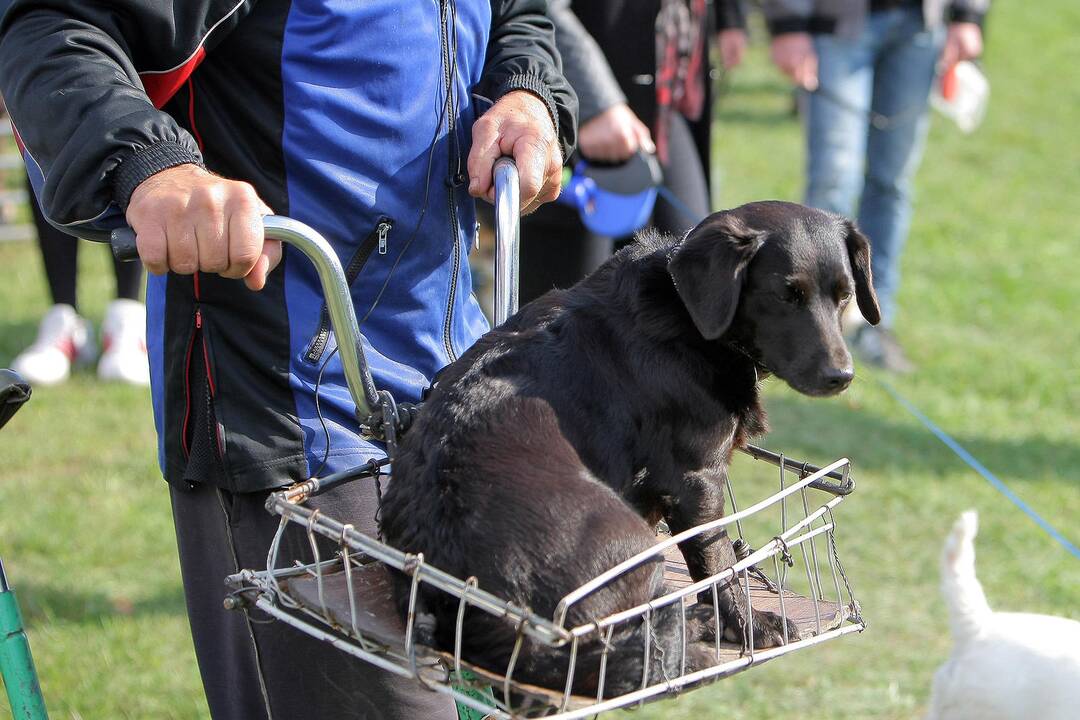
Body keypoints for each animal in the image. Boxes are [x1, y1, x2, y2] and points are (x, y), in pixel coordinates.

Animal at [378, 199, 876, 695]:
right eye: (785, 295)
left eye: (845, 295)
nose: (841, 377)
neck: (687, 313)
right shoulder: (697, 482)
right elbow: (719, 565)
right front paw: (752, 625)